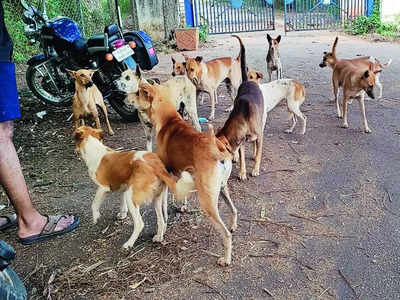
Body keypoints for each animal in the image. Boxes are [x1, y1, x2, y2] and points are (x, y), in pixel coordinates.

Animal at [216, 35, 266, 180]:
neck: (244, 119)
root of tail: (248, 81)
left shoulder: (260, 136)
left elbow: (258, 154)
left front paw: (255, 169)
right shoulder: (241, 141)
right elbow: (242, 157)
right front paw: (242, 172)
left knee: (255, 146)